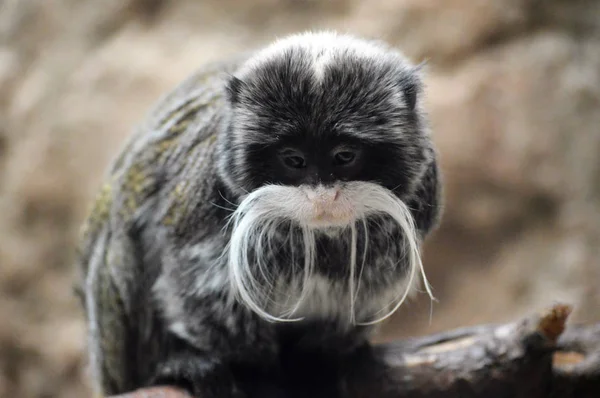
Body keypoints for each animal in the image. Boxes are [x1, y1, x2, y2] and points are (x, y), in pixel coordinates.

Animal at [75, 31, 440, 398]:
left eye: (344, 156)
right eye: (294, 160)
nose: (323, 196)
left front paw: (319, 363)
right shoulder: (202, 204)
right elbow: (197, 287)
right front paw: (251, 370)